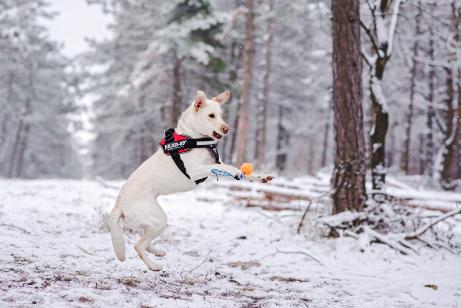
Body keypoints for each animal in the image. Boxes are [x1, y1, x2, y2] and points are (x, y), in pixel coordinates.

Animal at [109, 90, 272, 270]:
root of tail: (118, 204)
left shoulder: (216, 164)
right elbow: (228, 168)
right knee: (138, 245)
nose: (227, 129)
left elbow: (237, 171)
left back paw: (158, 252)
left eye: (221, 115)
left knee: (144, 241)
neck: (195, 138)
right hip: (158, 219)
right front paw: (237, 172)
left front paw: (259, 177)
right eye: (211, 115)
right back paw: (153, 266)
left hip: (149, 223)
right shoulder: (195, 170)